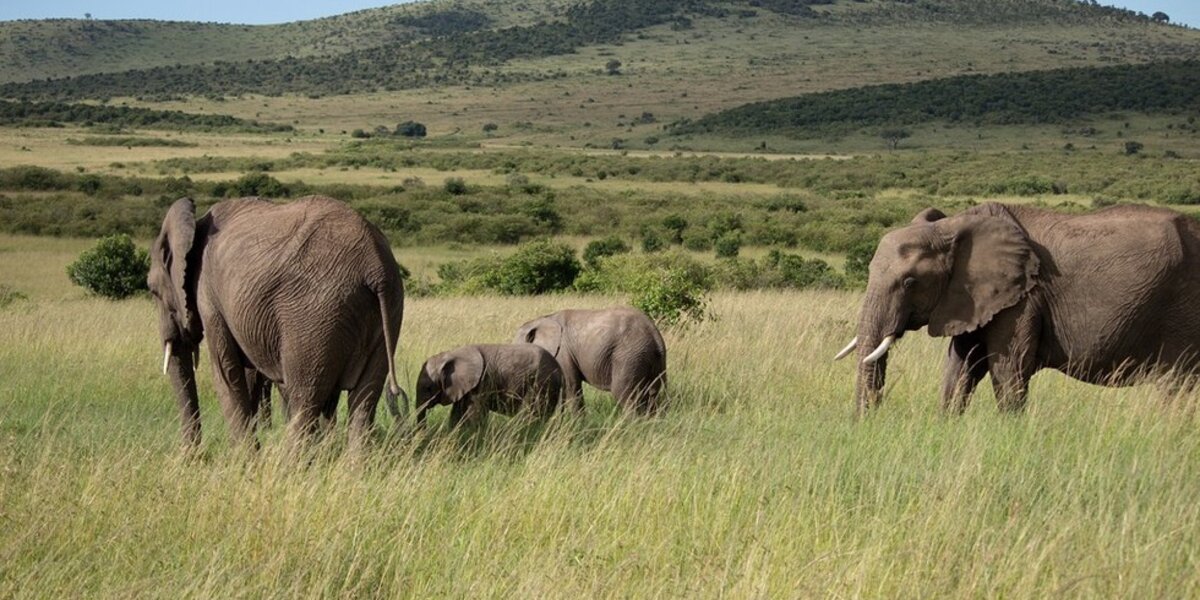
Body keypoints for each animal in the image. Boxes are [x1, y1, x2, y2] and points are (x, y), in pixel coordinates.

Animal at [145, 196, 405, 451]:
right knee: (364, 402)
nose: (194, 455)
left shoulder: (208, 294)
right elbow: (249, 374)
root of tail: (374, 266)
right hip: (388, 309)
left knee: (305, 401)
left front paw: (244, 458)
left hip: (314, 316)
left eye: (153, 291)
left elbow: (226, 371)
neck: (193, 224)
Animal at [415, 343, 564, 427]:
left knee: (530, 414)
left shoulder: (482, 384)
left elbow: (474, 415)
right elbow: (457, 414)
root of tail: (560, 369)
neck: (450, 354)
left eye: (428, 388)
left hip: (541, 383)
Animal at [513, 307, 672, 415]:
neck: (543, 318)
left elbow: (570, 386)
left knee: (623, 394)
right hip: (648, 358)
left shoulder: (563, 353)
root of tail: (655, 334)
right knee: (651, 394)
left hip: (629, 355)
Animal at [835, 201, 1200, 412]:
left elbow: (1007, 367)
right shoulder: (971, 298)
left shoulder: (1023, 298)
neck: (953, 226)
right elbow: (961, 366)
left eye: (910, 282)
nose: (869, 422)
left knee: (1176, 386)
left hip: (1182, 310)